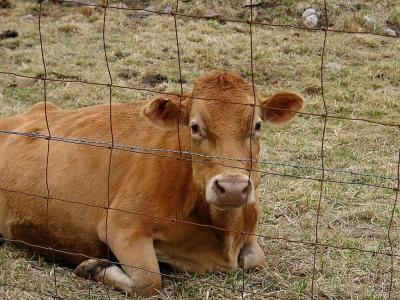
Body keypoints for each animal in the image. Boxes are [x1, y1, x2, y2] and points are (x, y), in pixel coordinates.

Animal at [0, 70, 304, 296]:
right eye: (194, 127)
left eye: (257, 125)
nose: (232, 188)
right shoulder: (121, 226)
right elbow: (149, 281)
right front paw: (95, 267)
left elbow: (256, 260)